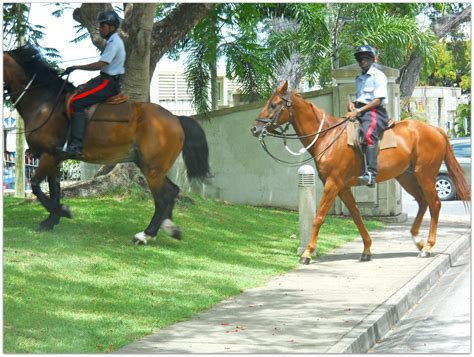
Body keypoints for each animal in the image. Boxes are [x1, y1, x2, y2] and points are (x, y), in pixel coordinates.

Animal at [2, 45, 209, 242]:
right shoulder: (54, 159)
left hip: (153, 169)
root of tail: (175, 118)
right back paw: (169, 228)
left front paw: (62, 212)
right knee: (171, 192)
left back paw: (146, 235)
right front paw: (51, 220)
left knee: (162, 198)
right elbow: (54, 189)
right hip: (148, 165)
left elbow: (36, 186)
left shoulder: (49, 156)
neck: (45, 103)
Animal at [250, 81, 468, 264]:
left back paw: (428, 247)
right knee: (423, 202)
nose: (254, 128)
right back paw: (418, 241)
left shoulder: (332, 184)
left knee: (435, 204)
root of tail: (437, 130)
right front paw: (367, 249)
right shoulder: (343, 187)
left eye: (273, 105)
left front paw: (307, 253)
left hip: (425, 175)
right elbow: (356, 215)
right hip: (406, 176)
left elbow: (319, 217)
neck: (327, 137)